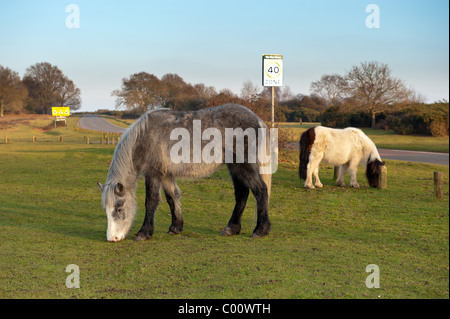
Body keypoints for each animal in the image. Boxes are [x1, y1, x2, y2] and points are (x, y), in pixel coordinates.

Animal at [97, 105, 270, 242]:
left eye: (119, 208)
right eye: (105, 210)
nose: (112, 238)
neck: (145, 136)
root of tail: (257, 119)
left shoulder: (153, 173)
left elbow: (151, 201)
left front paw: (144, 232)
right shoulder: (166, 175)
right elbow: (172, 197)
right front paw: (176, 227)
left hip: (243, 166)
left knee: (260, 190)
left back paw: (260, 230)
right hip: (235, 167)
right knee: (242, 194)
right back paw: (232, 228)